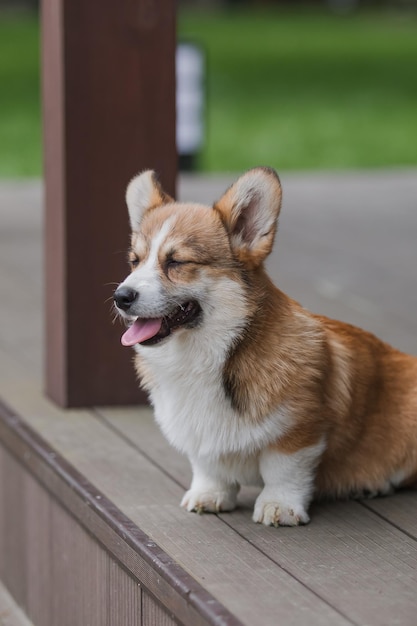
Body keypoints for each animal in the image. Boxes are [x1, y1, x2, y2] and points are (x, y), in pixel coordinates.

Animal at [114, 166, 416, 520]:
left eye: (176, 262)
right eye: (135, 261)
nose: (120, 297)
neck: (211, 354)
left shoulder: (299, 432)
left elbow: (283, 471)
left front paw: (279, 507)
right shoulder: (199, 436)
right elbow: (208, 467)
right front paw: (208, 495)